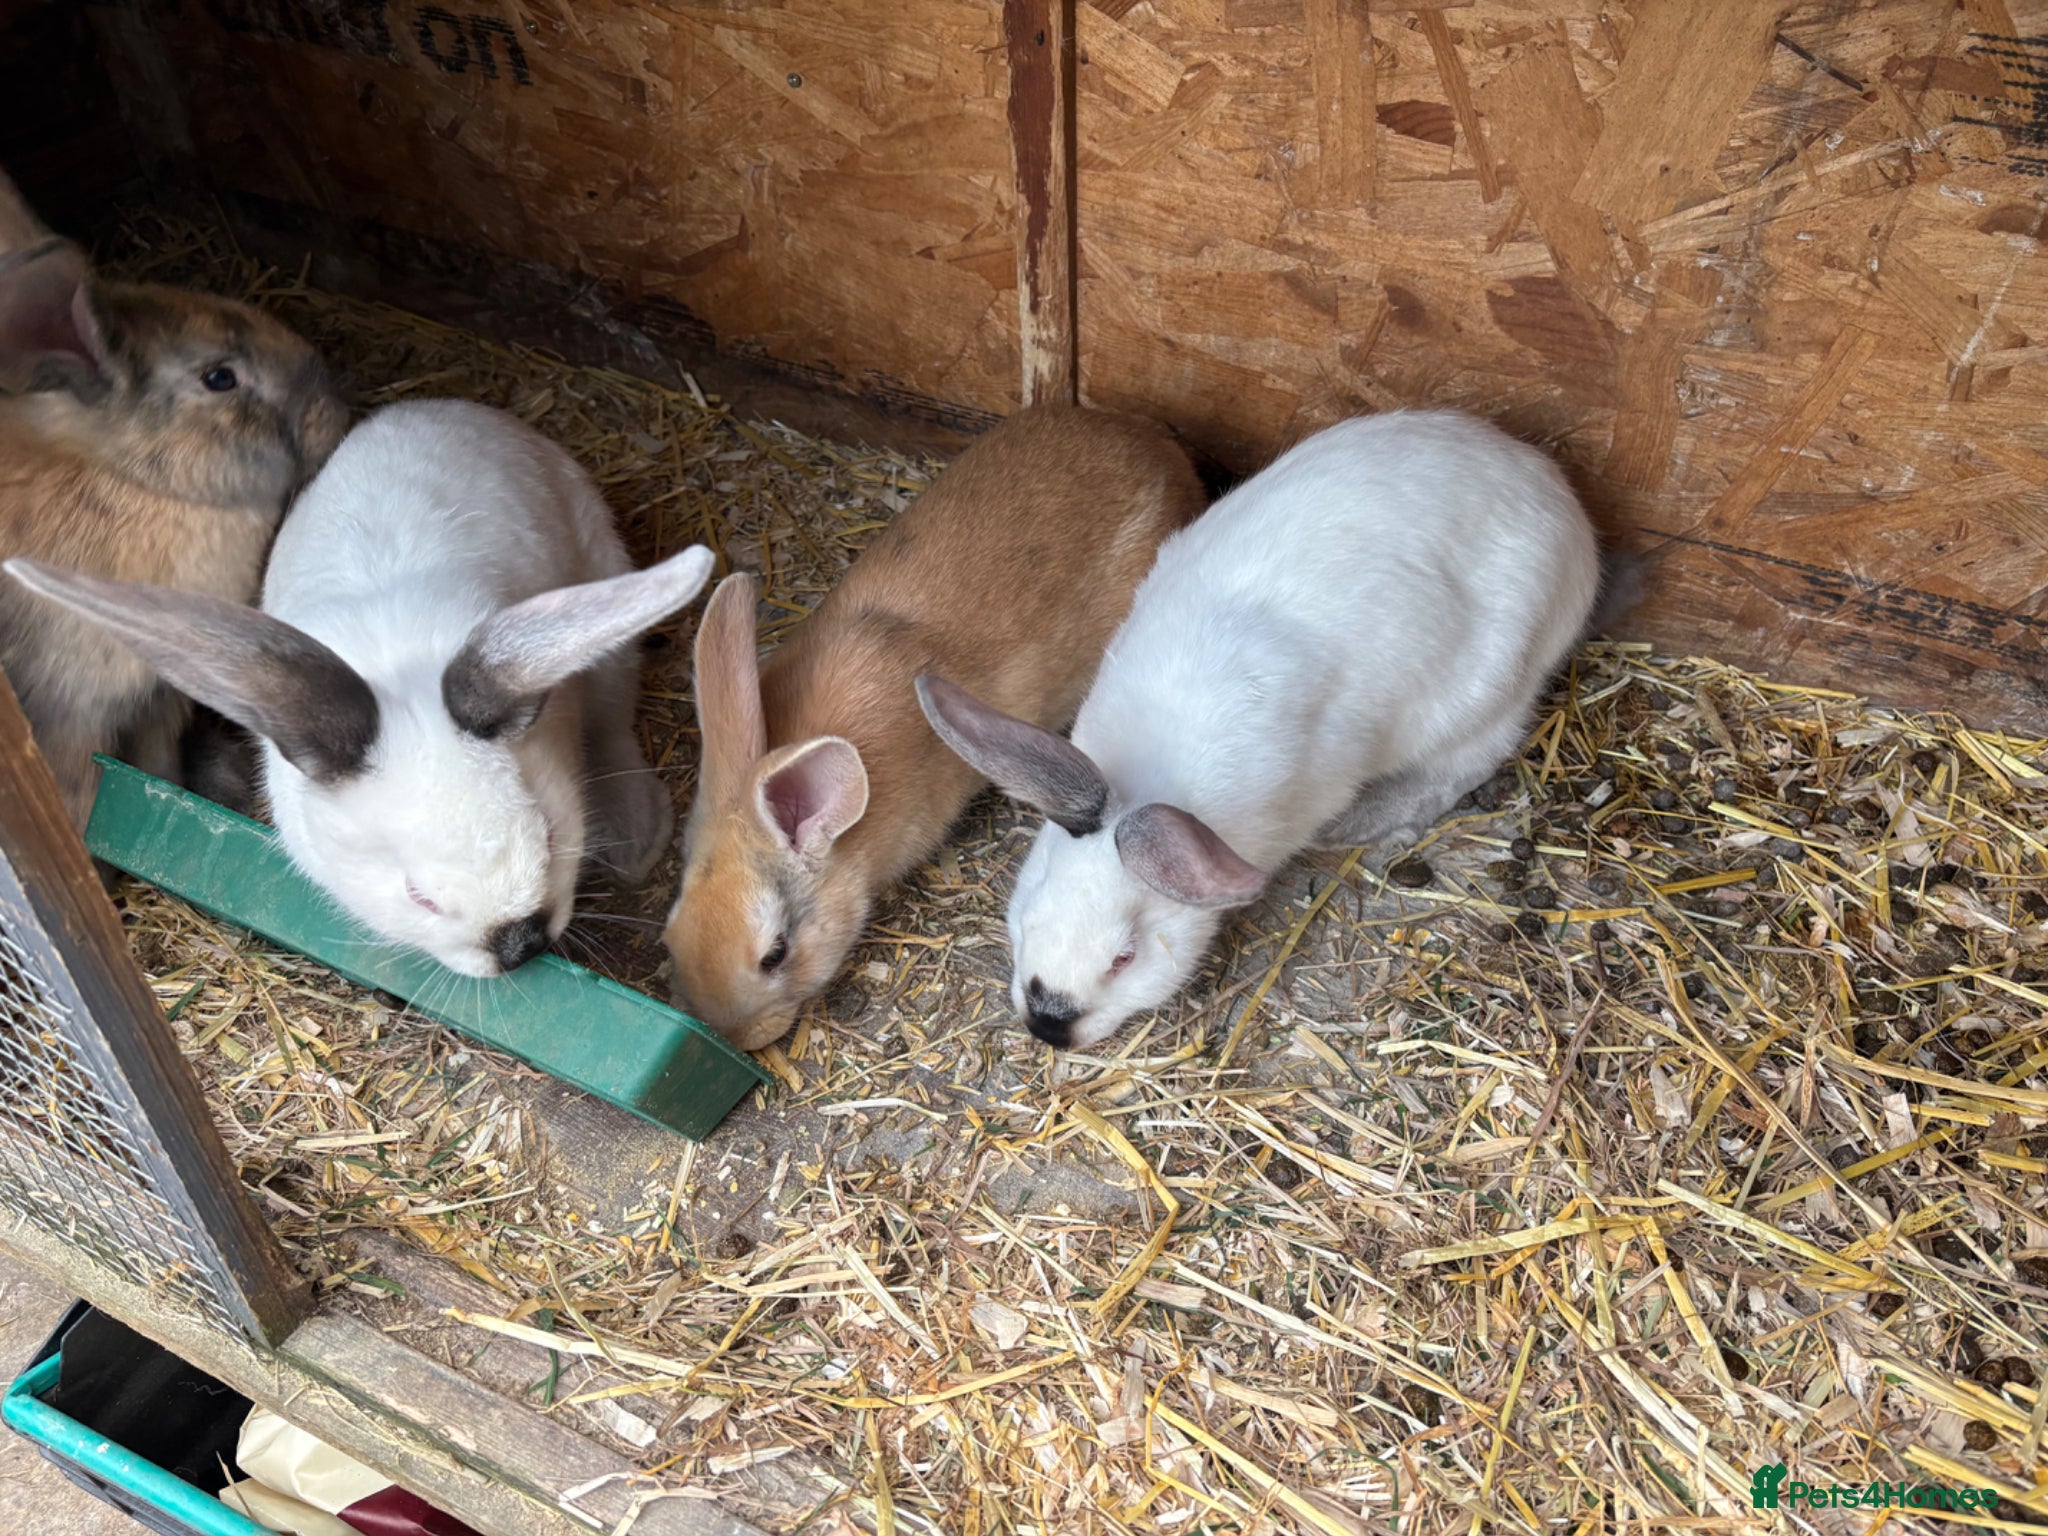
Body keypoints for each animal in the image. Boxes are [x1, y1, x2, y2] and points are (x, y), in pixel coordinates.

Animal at [0, 165, 348, 830]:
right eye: (220, 378)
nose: (336, 411)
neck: (136, 481)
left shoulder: (159, 699)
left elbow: (158, 765)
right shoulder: (68, 714)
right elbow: (82, 790)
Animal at [6, 399, 714, 978]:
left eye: (546, 835)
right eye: (419, 896)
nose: (520, 944)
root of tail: (439, 404)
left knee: (612, 717)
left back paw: (634, 836)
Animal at [916, 408, 1612, 1050]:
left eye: (1124, 956)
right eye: (1030, 910)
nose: (1048, 1026)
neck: (1151, 784)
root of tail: (1555, 492)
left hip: (1489, 692)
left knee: (1467, 763)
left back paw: (1364, 823)